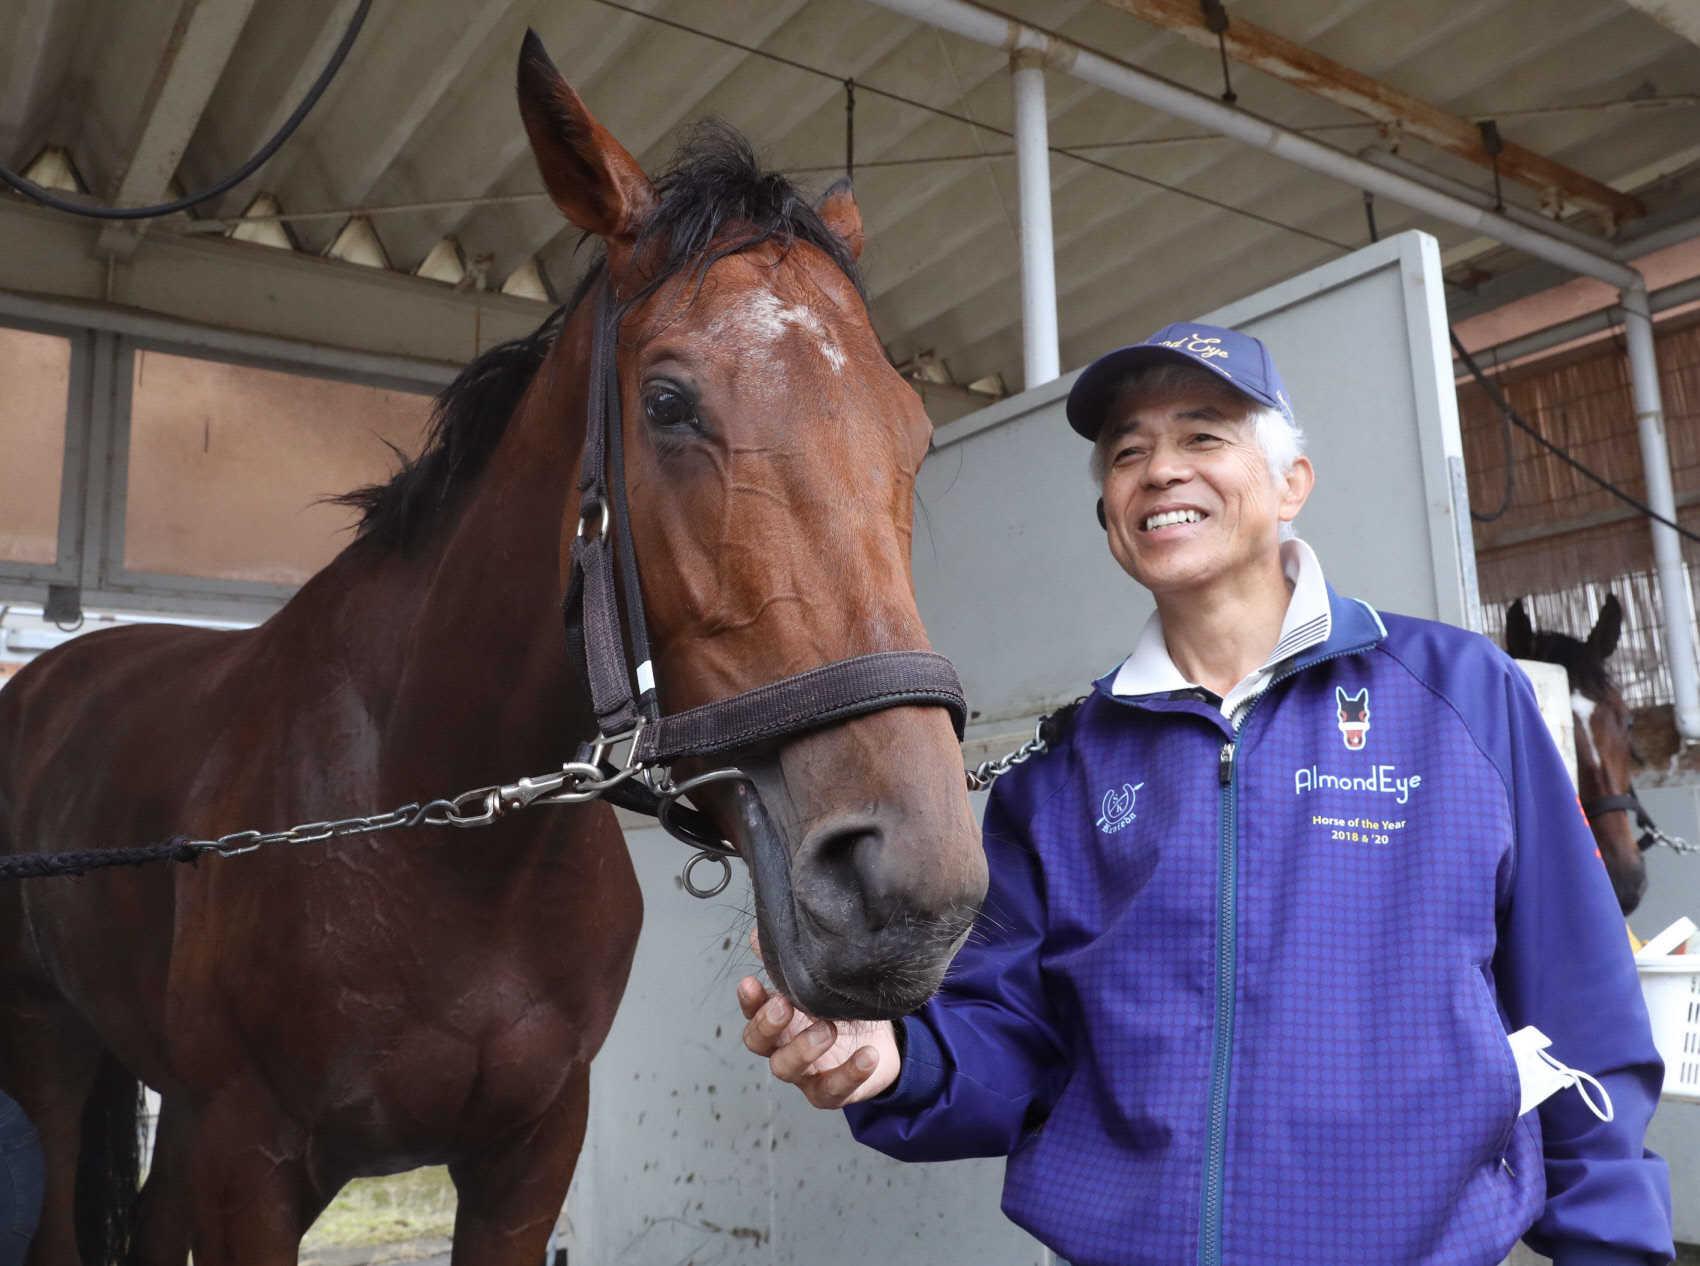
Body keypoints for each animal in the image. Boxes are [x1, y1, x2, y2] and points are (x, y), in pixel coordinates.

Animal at [0, 32, 986, 1264]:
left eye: (914, 432)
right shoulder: (251, 1160)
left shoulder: (527, 1156)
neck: (441, 838)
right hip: (53, 1055)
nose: (912, 890)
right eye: (667, 403)